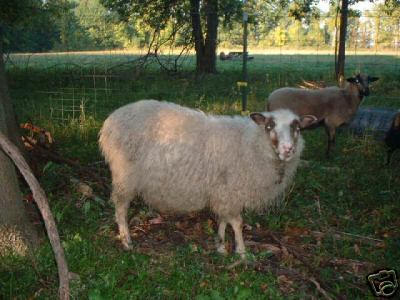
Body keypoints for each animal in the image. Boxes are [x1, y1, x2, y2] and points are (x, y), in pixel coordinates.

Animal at [99, 100, 316, 255]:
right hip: (125, 175)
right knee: (120, 208)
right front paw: (241, 251)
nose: (288, 149)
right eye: (269, 126)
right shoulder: (230, 191)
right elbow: (237, 222)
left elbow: (224, 219)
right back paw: (126, 240)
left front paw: (220, 246)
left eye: (297, 128)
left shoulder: (223, 191)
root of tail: (110, 120)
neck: (251, 142)